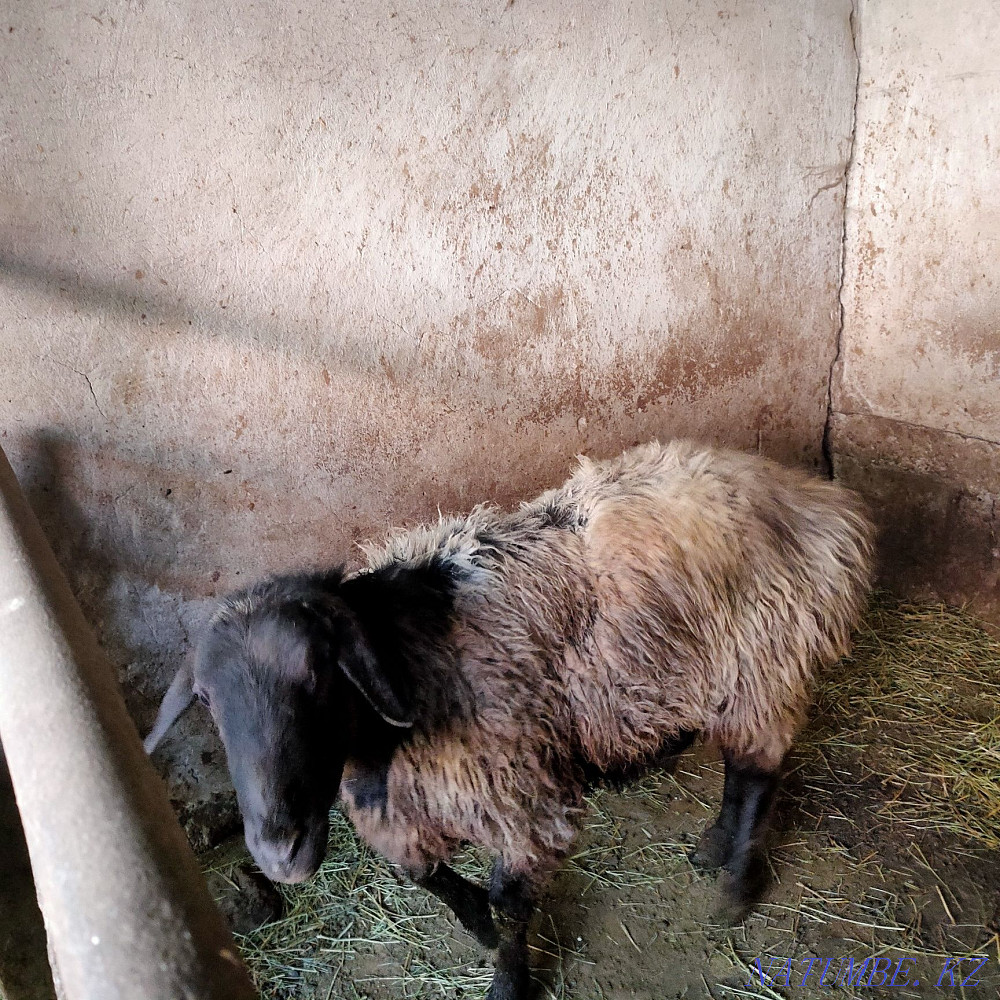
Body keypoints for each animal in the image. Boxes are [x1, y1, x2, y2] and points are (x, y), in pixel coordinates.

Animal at [146, 439, 875, 1000]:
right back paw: (715, 845)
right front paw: (477, 926)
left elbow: (510, 897)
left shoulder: (522, 794)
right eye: (205, 700)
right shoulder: (411, 806)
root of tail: (816, 499)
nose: (281, 852)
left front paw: (509, 979)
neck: (408, 661)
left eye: (319, 672)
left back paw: (737, 882)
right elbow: (426, 877)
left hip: (762, 660)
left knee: (757, 771)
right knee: (736, 763)